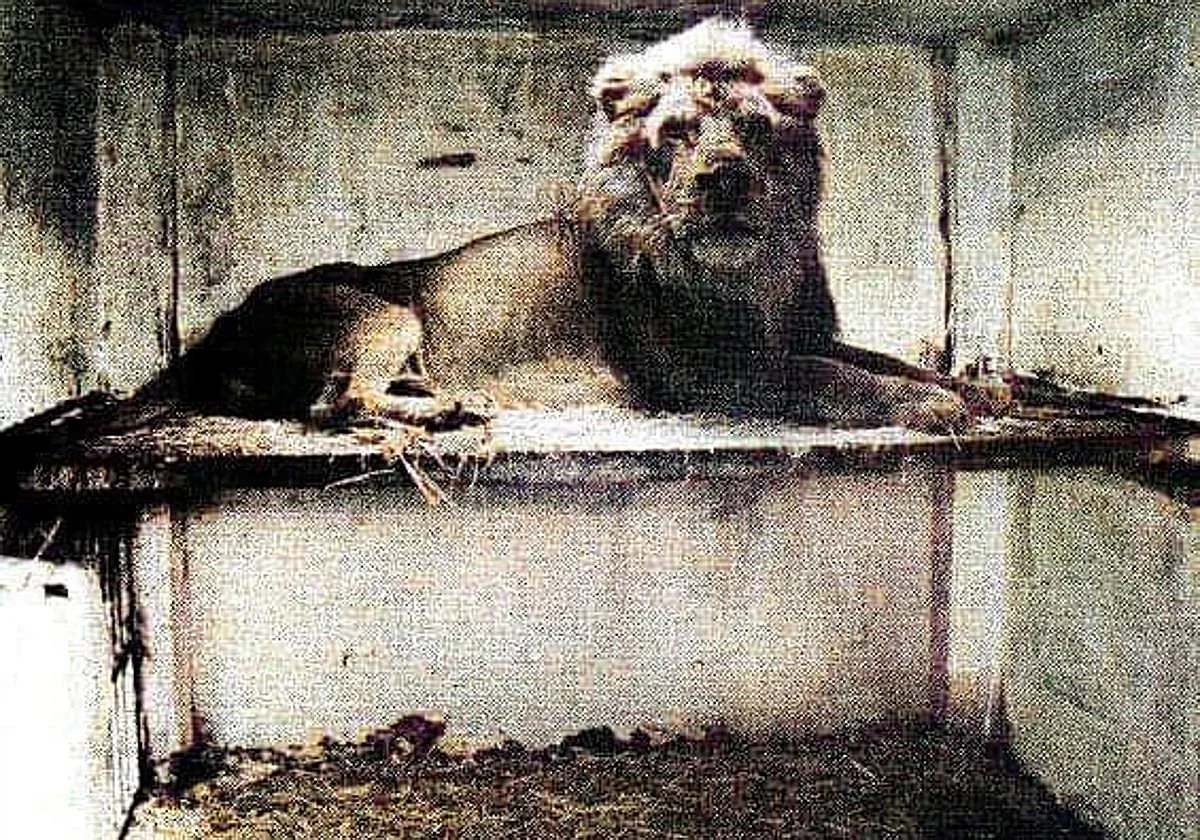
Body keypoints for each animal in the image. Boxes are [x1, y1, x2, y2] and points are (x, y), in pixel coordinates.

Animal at [162, 19, 967, 431]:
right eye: (677, 133)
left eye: (752, 127)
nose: (724, 178)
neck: (751, 272)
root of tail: (213, 338)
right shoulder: (710, 373)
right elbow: (834, 376)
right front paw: (937, 405)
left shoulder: (796, 337)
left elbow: (879, 360)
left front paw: (974, 393)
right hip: (382, 313)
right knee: (335, 403)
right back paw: (449, 407)